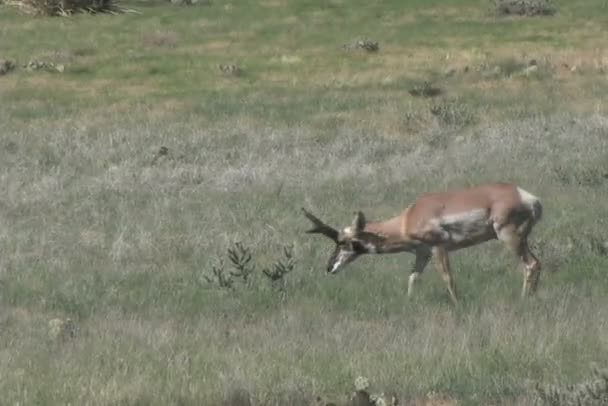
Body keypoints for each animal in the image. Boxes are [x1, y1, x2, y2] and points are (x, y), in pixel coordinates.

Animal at [302, 182, 544, 302]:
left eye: (343, 242)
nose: (329, 267)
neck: (408, 217)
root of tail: (528, 197)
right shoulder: (422, 253)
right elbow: (413, 278)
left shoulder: (438, 247)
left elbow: (448, 278)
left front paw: (457, 304)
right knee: (536, 263)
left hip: (509, 236)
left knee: (530, 264)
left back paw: (524, 300)